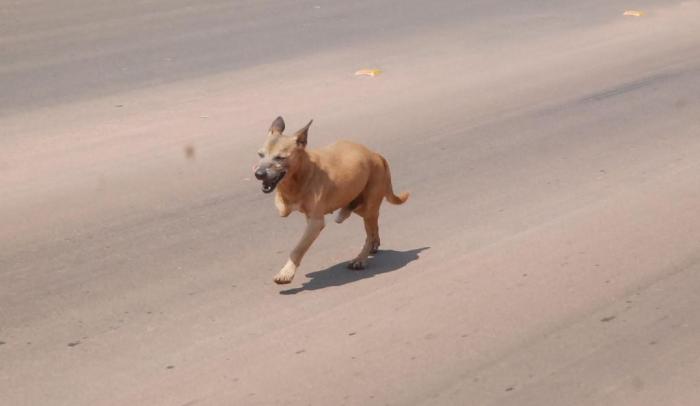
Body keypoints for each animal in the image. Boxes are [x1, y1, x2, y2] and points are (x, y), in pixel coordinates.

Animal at [253, 116, 408, 284]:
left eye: (280, 158)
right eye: (260, 155)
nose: (258, 174)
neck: (301, 174)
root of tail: (376, 155)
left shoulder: (315, 223)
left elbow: (298, 249)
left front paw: (287, 271)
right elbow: (282, 206)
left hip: (369, 206)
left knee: (370, 232)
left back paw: (361, 258)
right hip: (362, 206)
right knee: (371, 224)